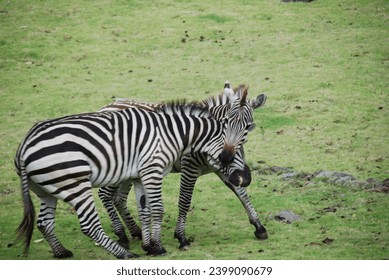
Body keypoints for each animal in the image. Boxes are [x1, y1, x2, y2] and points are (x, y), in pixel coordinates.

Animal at [14, 91, 252, 258]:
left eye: (243, 143)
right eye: (235, 151)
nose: (247, 179)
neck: (173, 133)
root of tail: (26, 144)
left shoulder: (140, 175)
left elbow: (144, 209)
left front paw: (149, 246)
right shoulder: (156, 170)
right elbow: (159, 208)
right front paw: (162, 245)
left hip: (47, 188)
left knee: (44, 222)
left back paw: (62, 252)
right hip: (77, 184)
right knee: (91, 222)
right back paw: (125, 252)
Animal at [98, 82, 266, 249]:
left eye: (247, 126)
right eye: (225, 122)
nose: (226, 156)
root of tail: (106, 107)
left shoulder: (222, 168)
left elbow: (241, 192)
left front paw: (259, 226)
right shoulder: (189, 167)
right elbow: (185, 201)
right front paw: (181, 237)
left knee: (119, 198)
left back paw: (135, 231)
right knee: (105, 195)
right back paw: (122, 234)